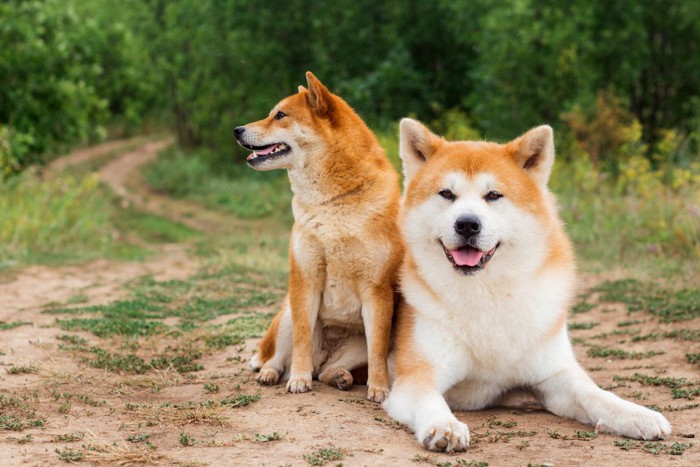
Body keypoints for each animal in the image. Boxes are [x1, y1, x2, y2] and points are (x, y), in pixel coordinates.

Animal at [234, 72, 402, 402]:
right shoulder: (305, 280)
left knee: (326, 371)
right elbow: (301, 342)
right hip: (287, 314)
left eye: (280, 115)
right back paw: (272, 374)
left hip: (355, 345)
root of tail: (325, 356)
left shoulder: (377, 292)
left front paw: (379, 388)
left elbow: (378, 352)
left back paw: (341, 377)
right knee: (279, 359)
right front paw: (298, 380)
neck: (332, 203)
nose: (237, 130)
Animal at [382, 119, 672, 452]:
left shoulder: (554, 377)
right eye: (446, 194)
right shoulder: (417, 377)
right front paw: (445, 425)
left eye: (493, 195)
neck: (486, 295)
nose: (467, 223)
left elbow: (596, 394)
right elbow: (432, 401)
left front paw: (636, 414)